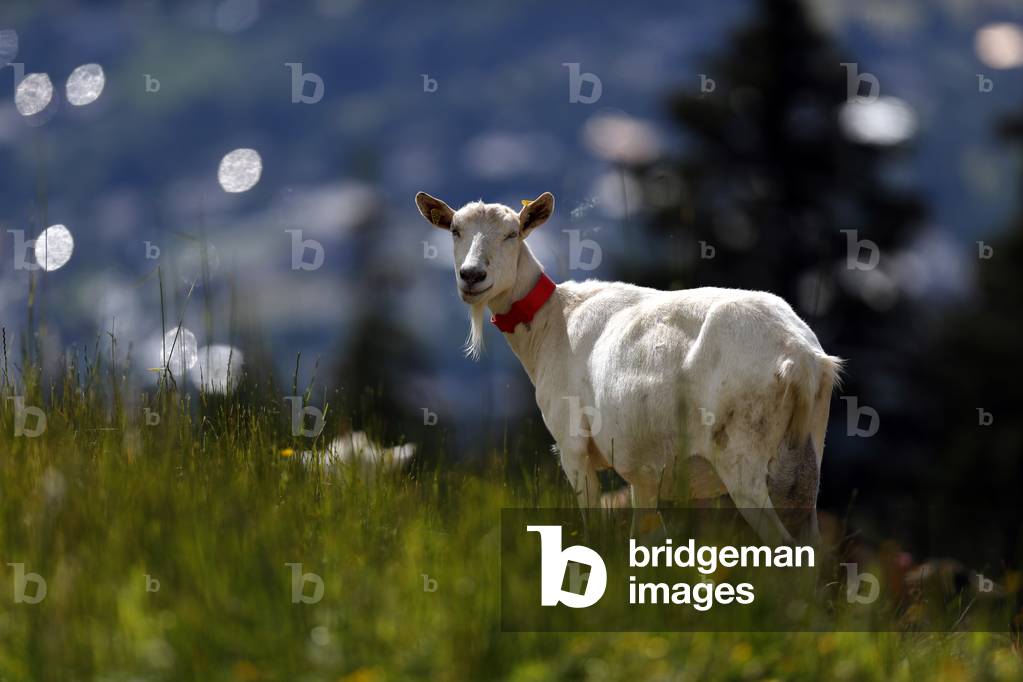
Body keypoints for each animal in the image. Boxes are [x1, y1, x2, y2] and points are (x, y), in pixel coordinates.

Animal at [415, 191, 842, 543]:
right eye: (454, 230)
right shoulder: (644, 470)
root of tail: (800, 357)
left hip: (742, 453)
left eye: (512, 233)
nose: (472, 276)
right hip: (805, 457)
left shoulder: (572, 443)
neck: (554, 322)